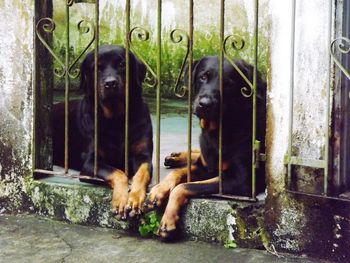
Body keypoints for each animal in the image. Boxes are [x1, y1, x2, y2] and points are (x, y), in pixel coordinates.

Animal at [53, 44, 153, 219]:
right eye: (97, 68)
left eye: (122, 64)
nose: (110, 83)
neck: (117, 119)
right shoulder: (89, 163)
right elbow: (118, 172)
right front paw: (121, 199)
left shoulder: (143, 155)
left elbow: (142, 173)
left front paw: (135, 198)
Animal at [144, 56, 266, 240]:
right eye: (203, 77)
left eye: (228, 83)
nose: (205, 104)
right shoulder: (205, 167)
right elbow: (178, 174)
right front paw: (158, 190)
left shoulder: (242, 182)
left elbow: (184, 186)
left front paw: (168, 220)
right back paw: (177, 156)